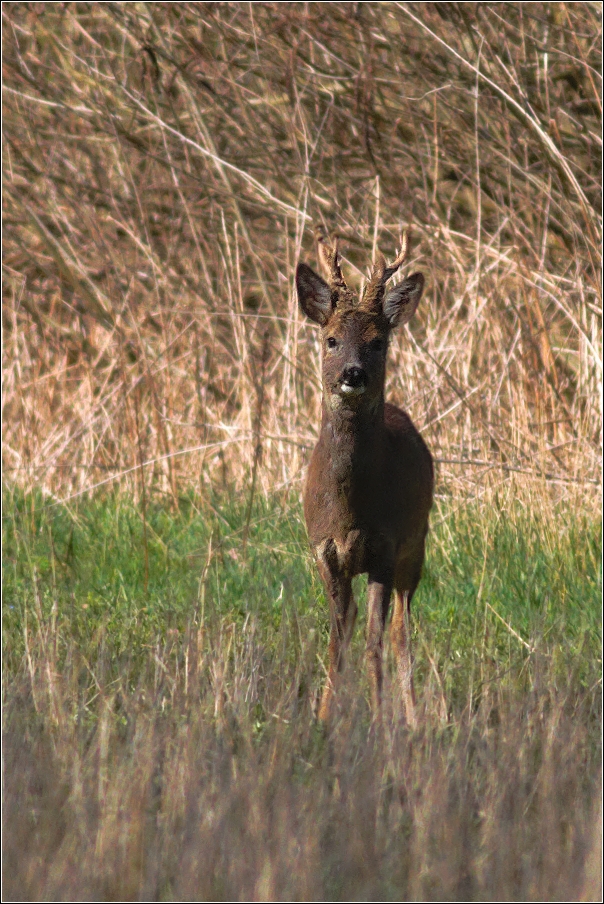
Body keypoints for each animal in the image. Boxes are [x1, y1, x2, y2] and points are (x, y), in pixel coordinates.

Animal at [294, 228, 432, 728]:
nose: (353, 373)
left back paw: (413, 718)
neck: (350, 511)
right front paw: (322, 720)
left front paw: (378, 720)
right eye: (331, 339)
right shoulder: (323, 550)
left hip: (418, 544)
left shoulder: (386, 547)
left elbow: (375, 643)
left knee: (401, 632)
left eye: (378, 342)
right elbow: (337, 639)